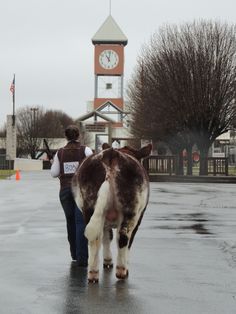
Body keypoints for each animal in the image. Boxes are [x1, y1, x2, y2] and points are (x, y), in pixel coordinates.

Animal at [71, 144, 151, 284]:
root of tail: (111, 153)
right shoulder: (139, 218)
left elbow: (106, 237)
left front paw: (107, 261)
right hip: (131, 211)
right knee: (123, 237)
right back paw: (122, 271)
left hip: (90, 208)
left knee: (94, 239)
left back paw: (93, 274)